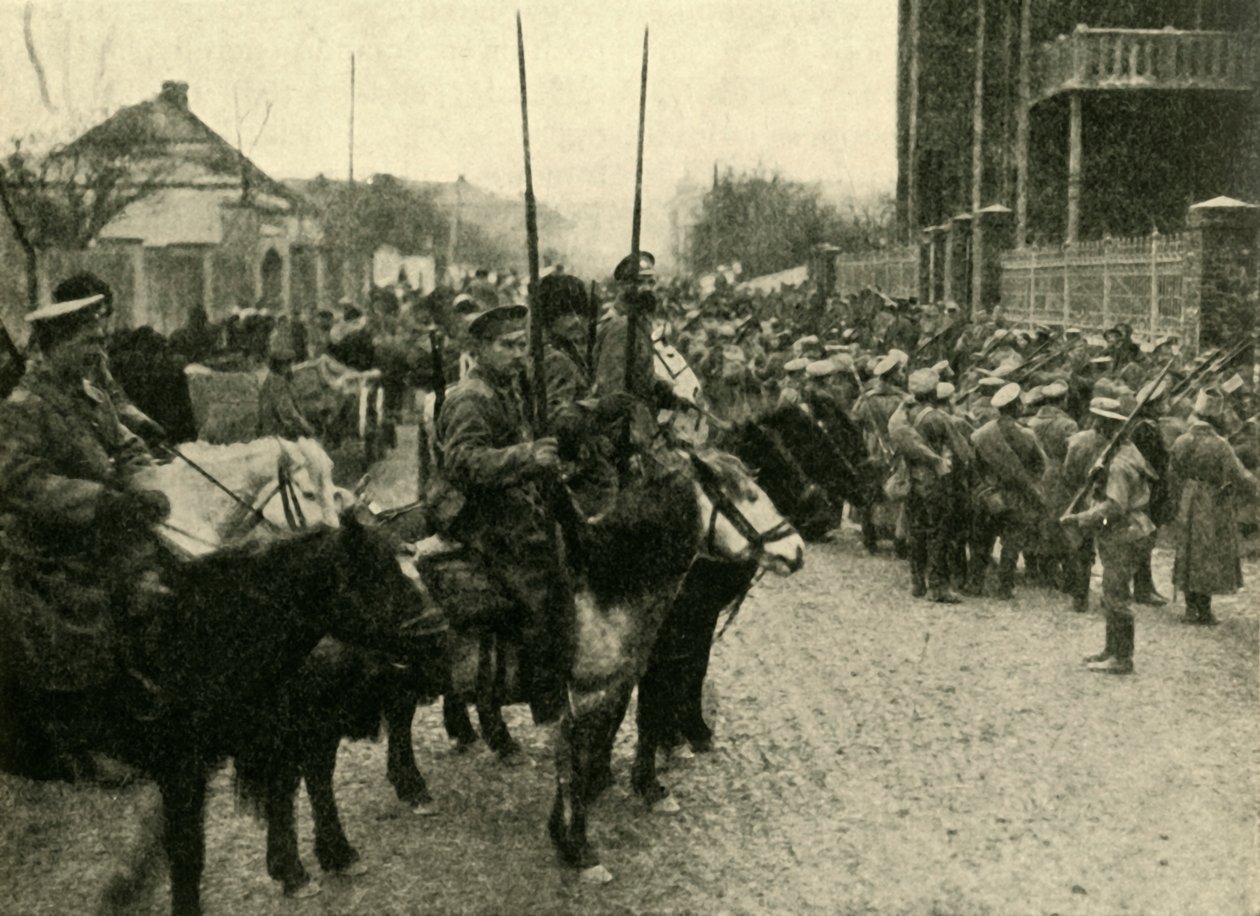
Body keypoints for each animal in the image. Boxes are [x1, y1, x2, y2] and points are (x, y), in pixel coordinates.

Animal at [0, 519, 443, 912]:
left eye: (413, 567)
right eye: (377, 575)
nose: (438, 631)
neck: (194, 640)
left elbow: (297, 784)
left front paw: (312, 863)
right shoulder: (185, 767)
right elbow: (189, 853)